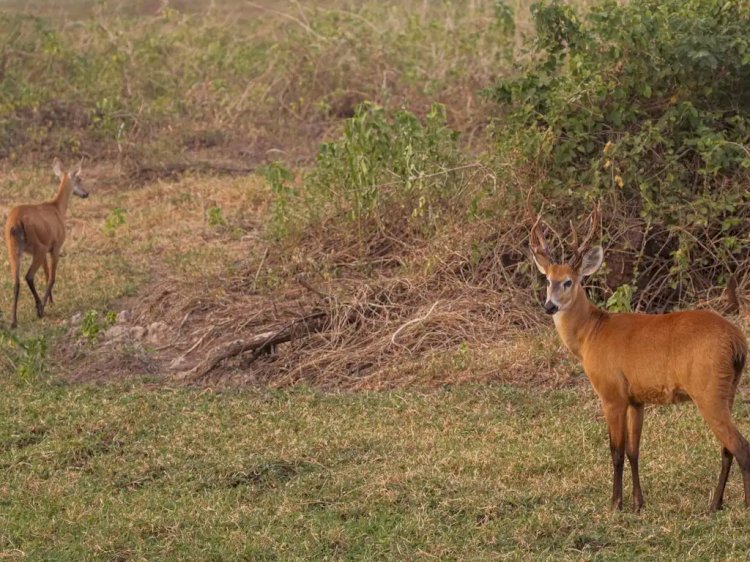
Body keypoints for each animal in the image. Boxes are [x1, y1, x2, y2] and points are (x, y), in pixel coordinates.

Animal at [4, 158, 89, 328]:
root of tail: (16, 221)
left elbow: (46, 274)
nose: (86, 193)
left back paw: (14, 321)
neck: (57, 208)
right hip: (38, 248)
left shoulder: (45, 252)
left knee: (16, 282)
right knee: (28, 276)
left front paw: (51, 301)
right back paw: (39, 309)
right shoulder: (55, 248)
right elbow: (52, 277)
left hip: (14, 249)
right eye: (79, 178)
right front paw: (46, 304)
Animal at [532, 203, 748, 510]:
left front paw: (615, 504)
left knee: (740, 446)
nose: (549, 306)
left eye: (568, 282)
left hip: (708, 388)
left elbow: (616, 450)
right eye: (548, 280)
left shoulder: (612, 393)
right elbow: (634, 451)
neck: (591, 334)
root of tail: (737, 341)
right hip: (728, 388)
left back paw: (740, 504)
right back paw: (715, 504)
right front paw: (638, 503)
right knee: (727, 447)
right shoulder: (637, 399)